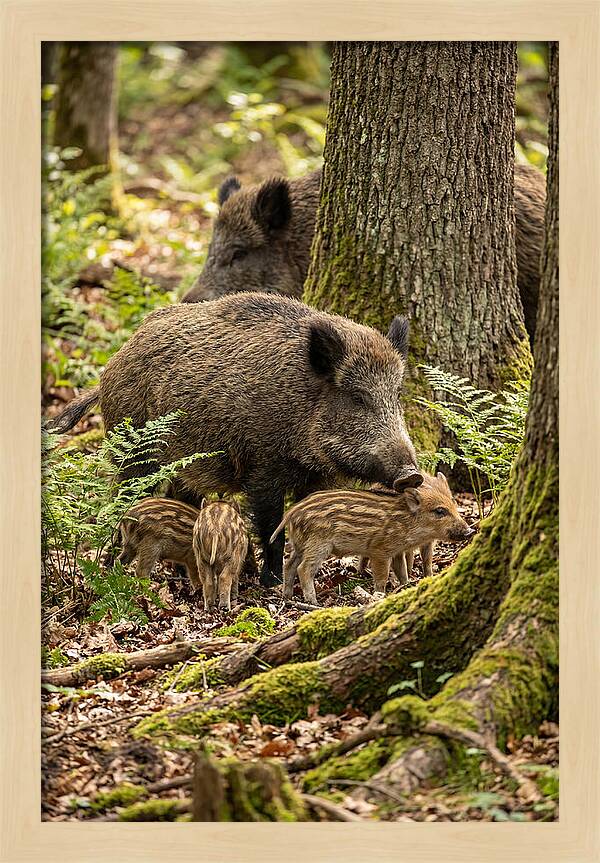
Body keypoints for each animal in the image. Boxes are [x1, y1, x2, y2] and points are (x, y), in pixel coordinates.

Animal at [46, 292, 422, 588]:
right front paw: (270, 582)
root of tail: (113, 362)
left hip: (184, 462)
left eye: (396, 395)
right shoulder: (263, 469)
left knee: (179, 499)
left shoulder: (318, 478)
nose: (412, 475)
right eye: (357, 397)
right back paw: (111, 566)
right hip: (134, 450)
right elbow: (271, 527)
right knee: (122, 499)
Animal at [271, 472, 474, 605]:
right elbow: (382, 576)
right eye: (439, 511)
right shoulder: (380, 551)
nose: (470, 531)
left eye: (454, 504)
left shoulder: (397, 551)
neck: (407, 522)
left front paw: (406, 586)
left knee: (289, 565)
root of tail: (292, 513)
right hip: (318, 545)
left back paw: (287, 596)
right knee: (303, 569)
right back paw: (313, 603)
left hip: (300, 544)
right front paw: (379, 595)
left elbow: (401, 571)